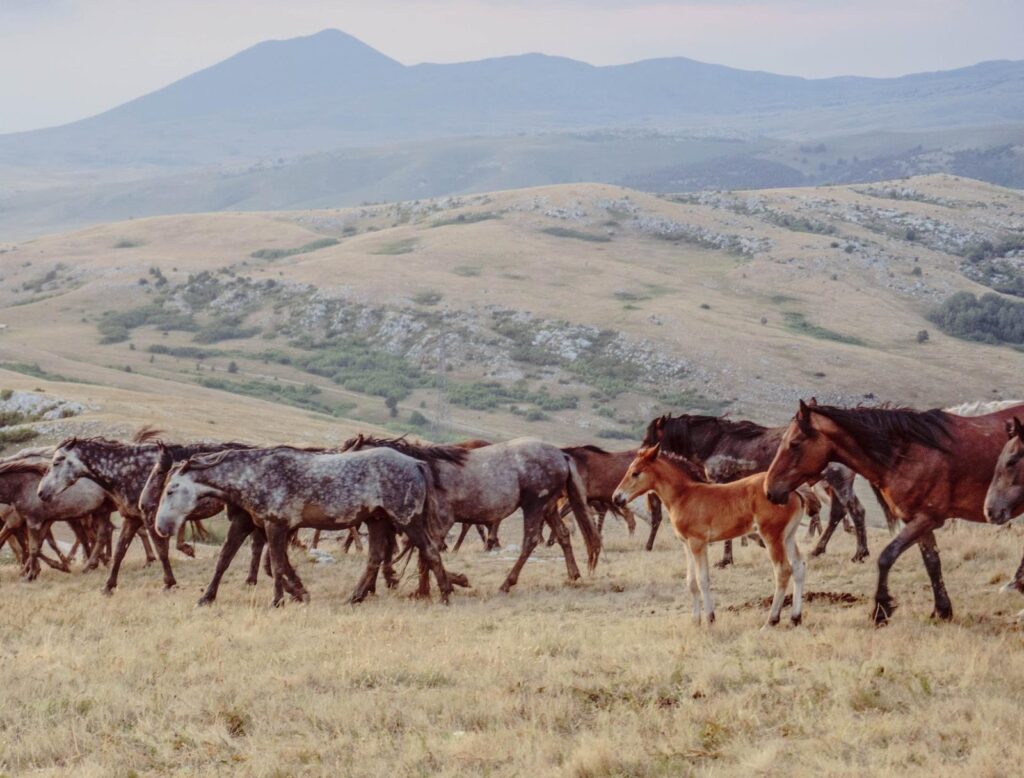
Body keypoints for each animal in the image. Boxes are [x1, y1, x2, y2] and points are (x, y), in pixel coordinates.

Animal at [153, 445, 456, 605]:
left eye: (171, 490)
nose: (161, 527)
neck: (254, 474)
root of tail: (416, 463)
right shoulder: (257, 526)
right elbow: (228, 559)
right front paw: (207, 597)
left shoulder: (275, 526)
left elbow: (277, 564)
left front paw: (282, 598)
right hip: (378, 521)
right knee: (375, 558)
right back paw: (354, 597)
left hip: (406, 520)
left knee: (430, 550)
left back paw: (445, 594)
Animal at [339, 435, 600, 594]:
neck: (420, 470)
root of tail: (561, 455)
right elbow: (421, 552)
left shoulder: (440, 522)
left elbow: (426, 552)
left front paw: (431, 588)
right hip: (548, 508)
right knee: (563, 534)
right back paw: (574, 575)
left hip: (534, 506)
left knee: (531, 540)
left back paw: (506, 584)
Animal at [612, 445, 806, 627]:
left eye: (635, 473)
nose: (616, 498)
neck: (684, 495)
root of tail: (794, 492)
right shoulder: (686, 544)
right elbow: (691, 582)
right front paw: (695, 620)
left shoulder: (698, 543)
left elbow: (702, 580)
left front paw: (710, 618)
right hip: (788, 537)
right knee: (798, 567)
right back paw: (795, 618)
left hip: (771, 536)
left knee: (783, 571)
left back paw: (771, 621)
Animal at [642, 413, 876, 565]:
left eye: (650, 435)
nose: (641, 454)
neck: (716, 442)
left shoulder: (721, 483)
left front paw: (726, 560)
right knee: (842, 512)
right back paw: (822, 550)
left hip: (837, 481)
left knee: (853, 511)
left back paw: (859, 553)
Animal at [765, 399, 1024, 624]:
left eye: (794, 443)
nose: (770, 490)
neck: (906, 453)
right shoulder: (918, 520)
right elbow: (932, 563)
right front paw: (942, 610)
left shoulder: (926, 519)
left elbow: (886, 557)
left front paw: (881, 609)